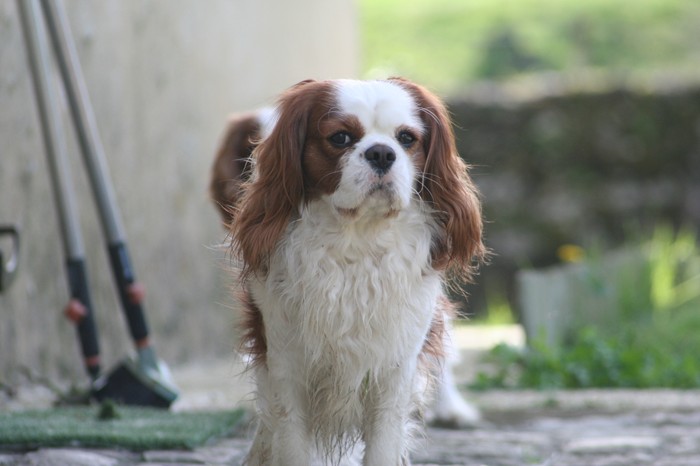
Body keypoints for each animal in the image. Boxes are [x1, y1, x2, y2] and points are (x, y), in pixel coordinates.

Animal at [211, 78, 484, 464]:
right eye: (340, 138)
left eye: (406, 138)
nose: (382, 153)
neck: (356, 240)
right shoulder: (285, 365)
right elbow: (290, 442)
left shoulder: (394, 368)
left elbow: (384, 444)